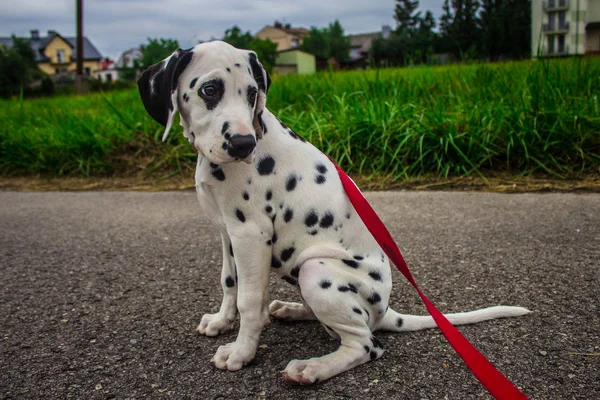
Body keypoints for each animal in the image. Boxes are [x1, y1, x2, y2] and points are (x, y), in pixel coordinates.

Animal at [137, 40, 528, 384]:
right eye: (210, 90)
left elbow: (249, 300)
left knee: (366, 344)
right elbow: (229, 282)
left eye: (251, 94)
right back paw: (291, 310)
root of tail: (386, 311)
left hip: (316, 270)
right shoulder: (227, 233)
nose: (244, 144)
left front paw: (241, 352)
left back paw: (311, 368)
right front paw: (222, 321)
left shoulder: (250, 234)